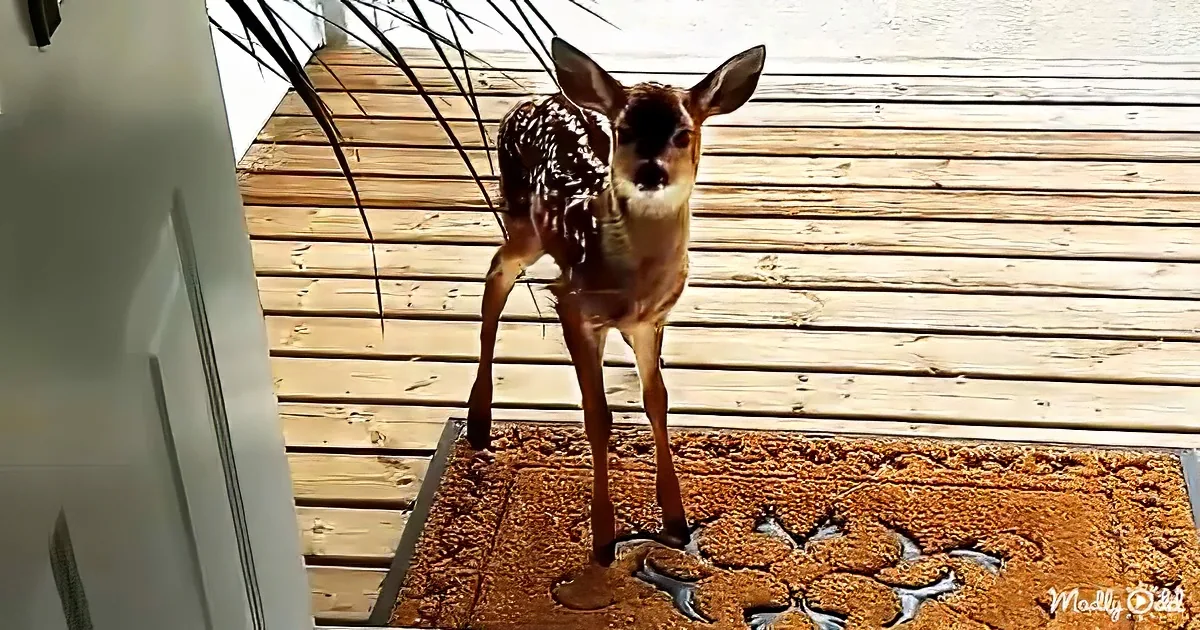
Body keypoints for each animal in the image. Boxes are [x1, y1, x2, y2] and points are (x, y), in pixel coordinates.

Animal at [465, 37, 766, 608]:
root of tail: (530, 100)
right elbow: (597, 416)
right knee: (495, 275)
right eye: (625, 132)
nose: (650, 172)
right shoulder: (576, 308)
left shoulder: (653, 320)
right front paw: (603, 539)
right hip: (522, 217)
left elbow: (657, 400)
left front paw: (676, 520)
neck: (633, 284)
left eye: (682, 133)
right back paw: (477, 419)